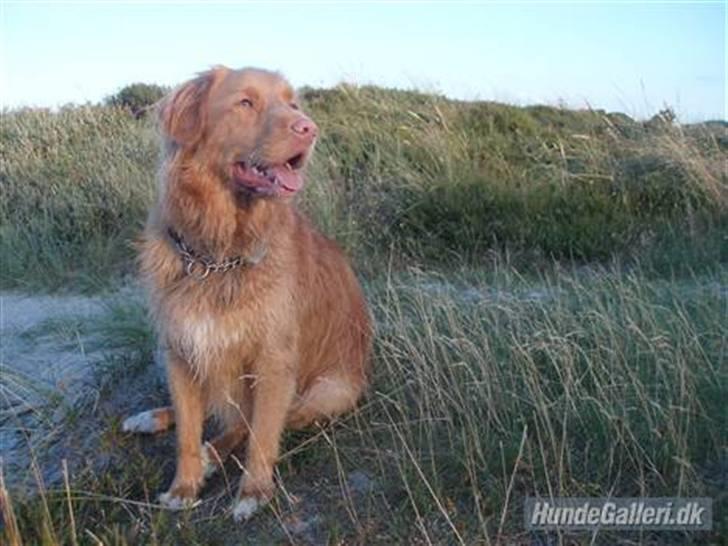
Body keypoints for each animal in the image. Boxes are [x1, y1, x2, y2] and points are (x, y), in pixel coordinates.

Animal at [123, 66, 372, 516]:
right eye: (245, 103)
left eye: (293, 104)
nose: (309, 128)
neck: (217, 253)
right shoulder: (180, 353)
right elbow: (187, 433)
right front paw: (183, 489)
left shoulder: (273, 362)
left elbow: (260, 435)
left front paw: (253, 492)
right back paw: (152, 418)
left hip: (329, 391)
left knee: (250, 422)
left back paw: (214, 454)